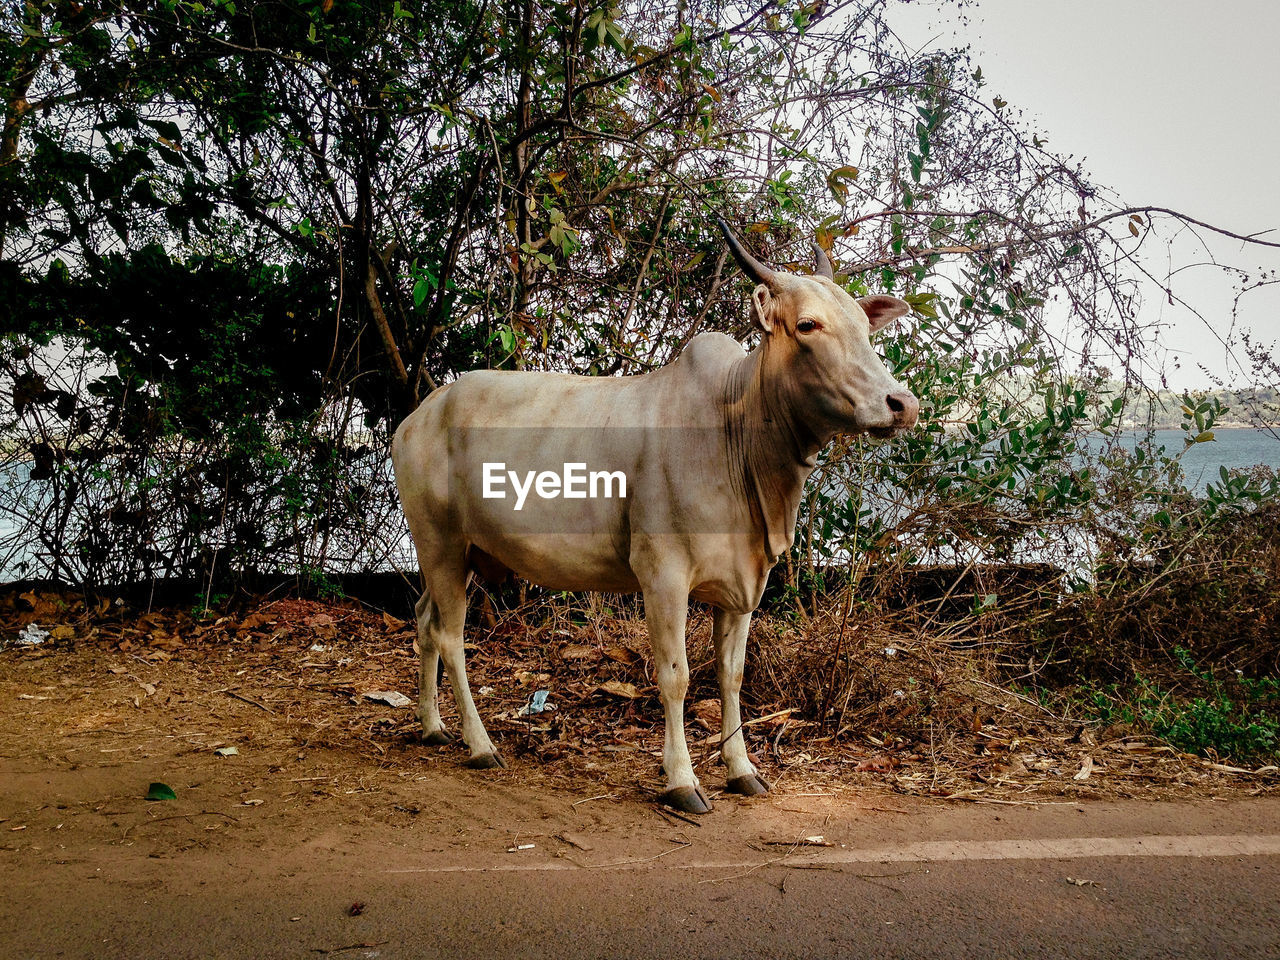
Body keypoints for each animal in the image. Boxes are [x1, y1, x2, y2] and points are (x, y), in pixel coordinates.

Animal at [391, 221, 921, 814]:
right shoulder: (662, 576)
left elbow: (731, 676)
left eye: (865, 326)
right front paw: (682, 779)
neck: (736, 433)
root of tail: (419, 414)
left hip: (456, 555)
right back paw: (479, 744)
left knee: (424, 621)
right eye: (808, 324)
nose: (902, 404)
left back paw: (432, 726)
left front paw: (742, 770)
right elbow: (676, 677)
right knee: (450, 637)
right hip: (440, 544)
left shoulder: (742, 587)